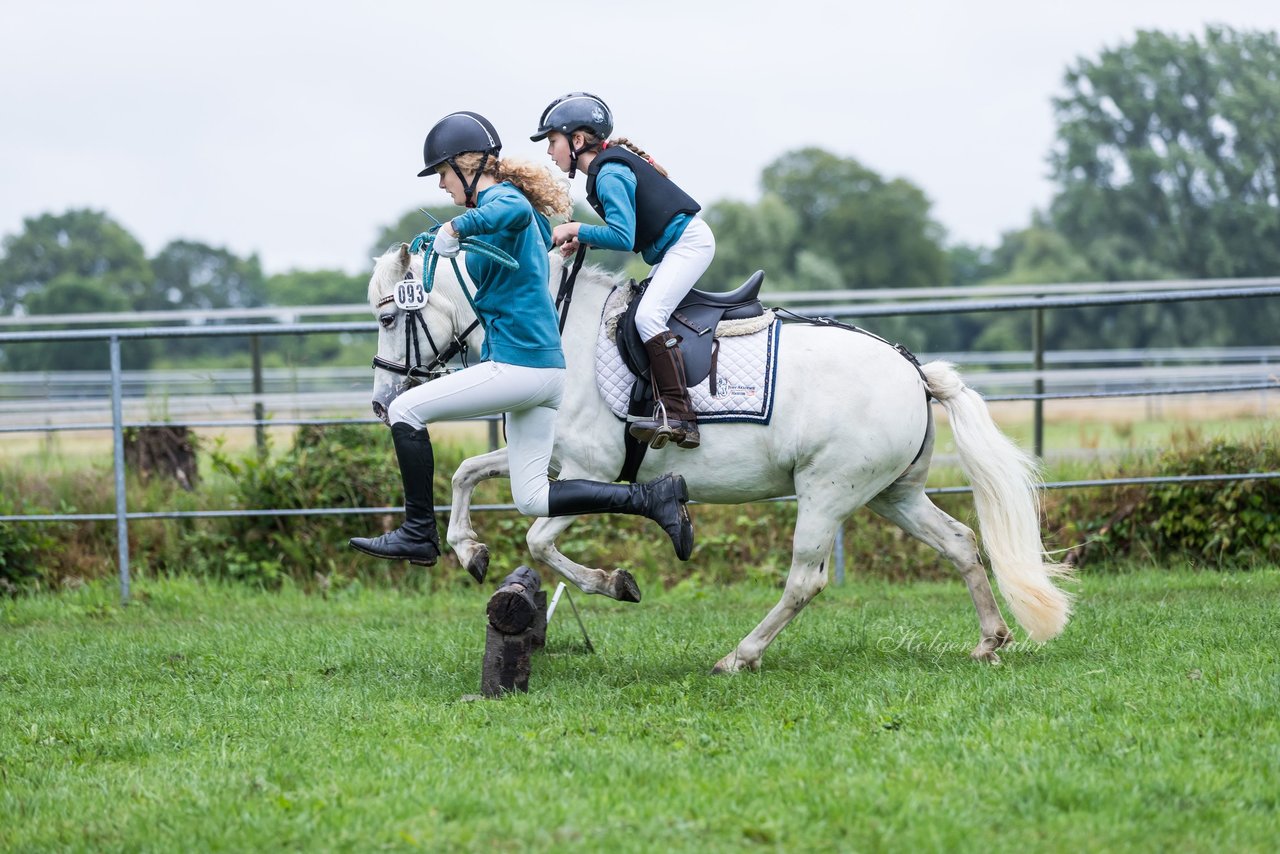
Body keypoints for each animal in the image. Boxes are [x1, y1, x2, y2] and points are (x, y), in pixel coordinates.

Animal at [371, 243, 1070, 670]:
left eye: (387, 317)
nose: (381, 403)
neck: (560, 330)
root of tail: (915, 369)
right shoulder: (549, 462)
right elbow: (466, 473)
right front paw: (468, 550)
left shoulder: (588, 471)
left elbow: (540, 540)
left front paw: (614, 582)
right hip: (892, 495)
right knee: (959, 543)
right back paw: (989, 640)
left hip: (828, 492)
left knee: (805, 579)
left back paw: (740, 655)